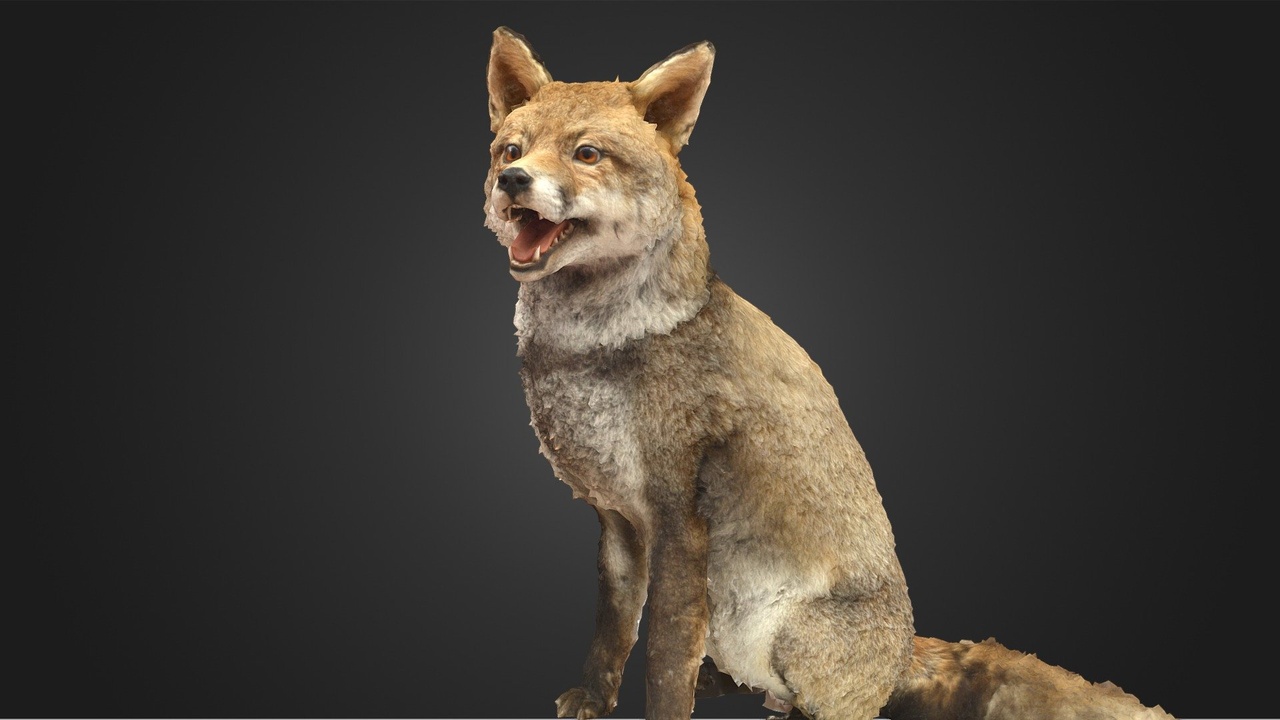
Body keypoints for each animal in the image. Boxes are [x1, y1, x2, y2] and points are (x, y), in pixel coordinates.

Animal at [481, 26, 1176, 720]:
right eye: (512, 149)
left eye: (587, 153)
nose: (512, 180)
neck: (593, 350)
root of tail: (903, 652)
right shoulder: (619, 521)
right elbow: (614, 628)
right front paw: (596, 698)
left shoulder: (681, 522)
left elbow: (664, 657)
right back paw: (724, 683)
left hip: (785, 633)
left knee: (825, 703)